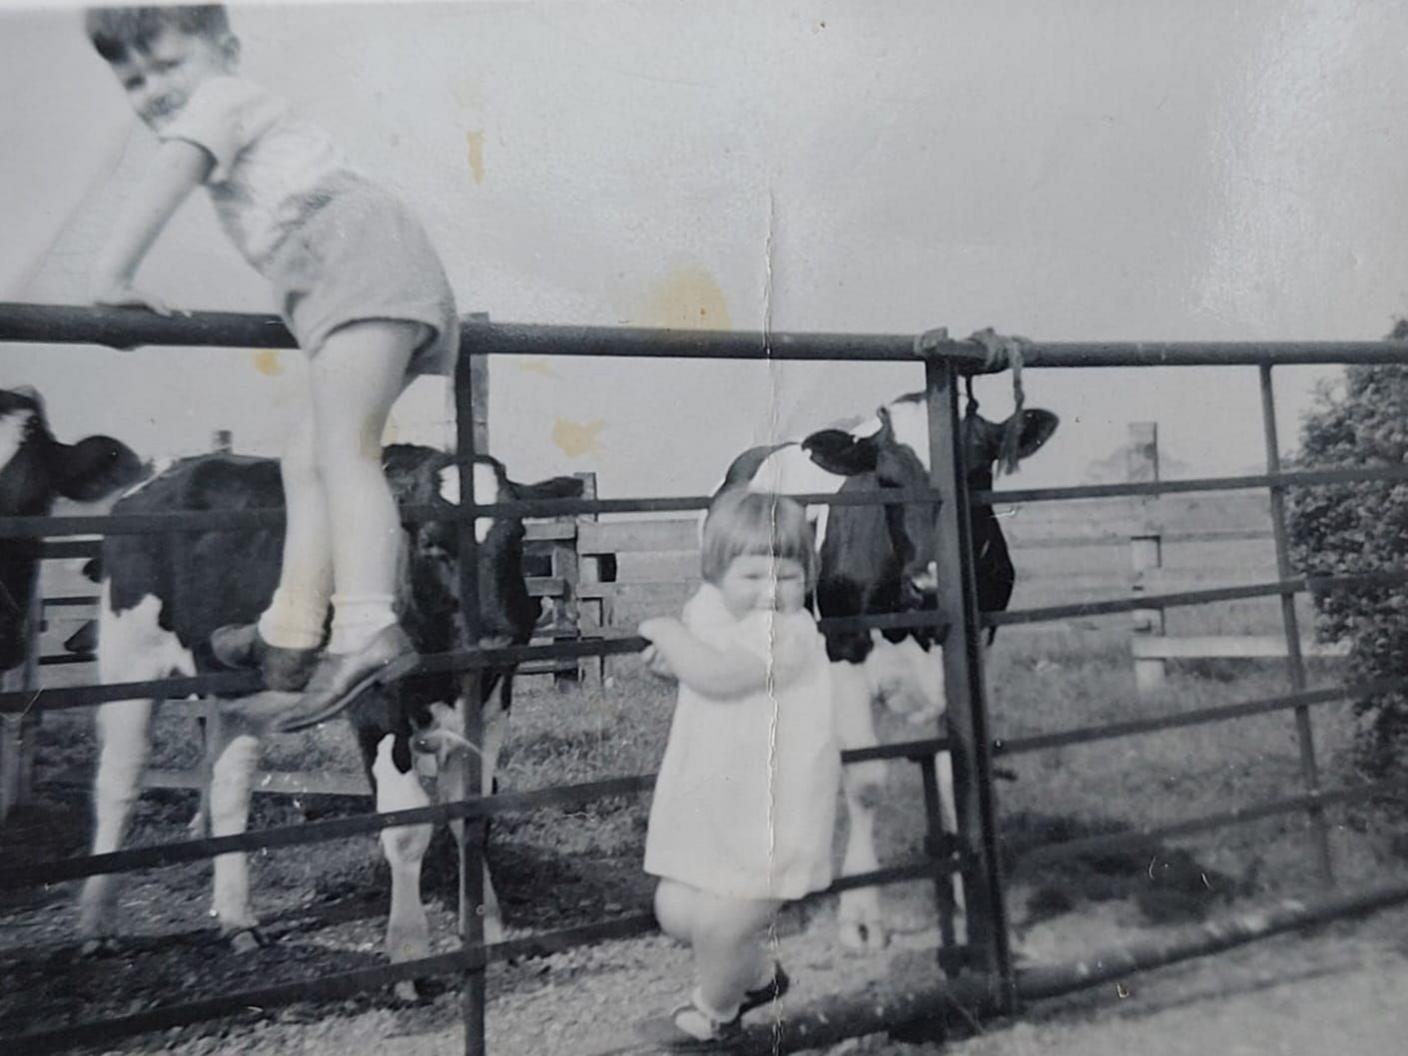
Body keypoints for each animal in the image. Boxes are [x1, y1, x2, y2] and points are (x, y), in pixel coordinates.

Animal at [78, 447, 582, 985]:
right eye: (431, 542)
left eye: (519, 534)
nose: (496, 635)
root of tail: (164, 475)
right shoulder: (376, 706)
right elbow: (405, 827)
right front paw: (408, 955)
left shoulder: (491, 704)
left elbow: (475, 818)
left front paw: (490, 935)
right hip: (131, 659)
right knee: (119, 780)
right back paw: (98, 927)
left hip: (234, 687)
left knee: (229, 787)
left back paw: (238, 921)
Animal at [720, 394, 1053, 951]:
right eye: (886, 478)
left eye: (977, 469)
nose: (931, 583)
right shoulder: (845, 653)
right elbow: (866, 781)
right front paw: (860, 917)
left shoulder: (972, 652)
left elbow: (956, 774)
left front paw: (973, 907)